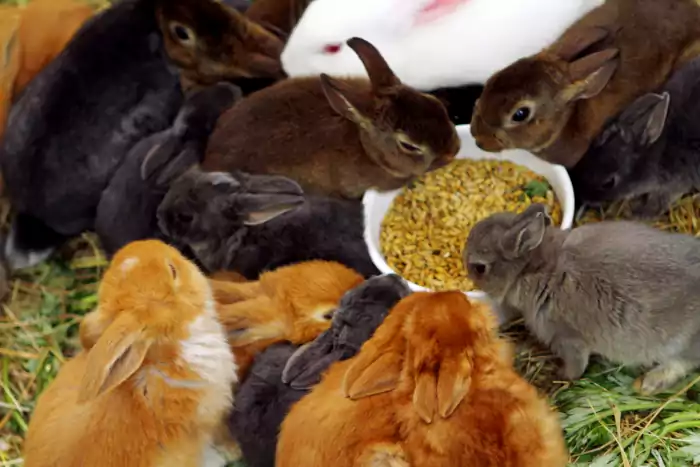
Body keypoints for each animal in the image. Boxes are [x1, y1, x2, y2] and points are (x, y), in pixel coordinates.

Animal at [464, 203, 700, 395]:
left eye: (480, 267)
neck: (537, 267)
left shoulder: (568, 338)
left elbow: (576, 366)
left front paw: (561, 375)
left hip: (680, 345)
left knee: (682, 363)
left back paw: (650, 383)